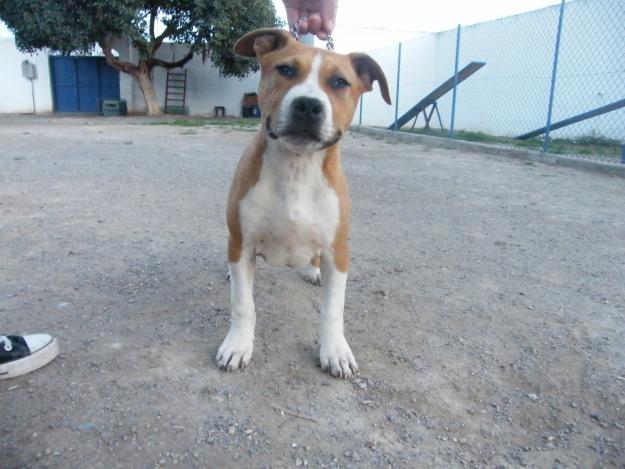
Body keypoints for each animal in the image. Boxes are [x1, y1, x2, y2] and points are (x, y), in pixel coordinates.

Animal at [217, 28, 388, 376]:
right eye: (286, 70)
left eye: (339, 82)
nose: (308, 105)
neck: (297, 166)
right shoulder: (242, 242)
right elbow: (243, 304)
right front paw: (238, 345)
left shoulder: (338, 251)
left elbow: (332, 310)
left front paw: (335, 351)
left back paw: (313, 271)